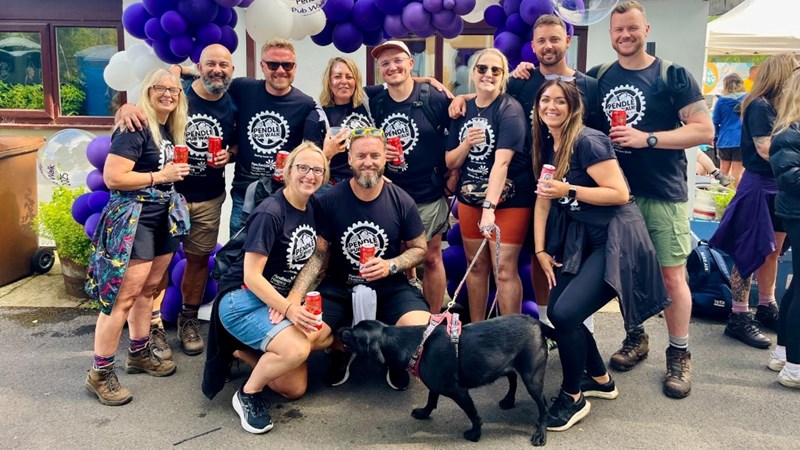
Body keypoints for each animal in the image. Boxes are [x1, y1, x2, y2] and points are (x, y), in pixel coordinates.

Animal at [337, 314, 548, 446]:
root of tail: (536, 321)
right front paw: (424, 413)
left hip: (532, 378)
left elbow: (473, 415)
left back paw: (540, 434)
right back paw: (508, 400)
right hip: (506, 365)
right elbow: (431, 399)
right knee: (512, 378)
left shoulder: (459, 392)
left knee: (543, 407)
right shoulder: (435, 384)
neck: (414, 345)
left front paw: (475, 434)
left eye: (352, 334)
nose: (339, 329)